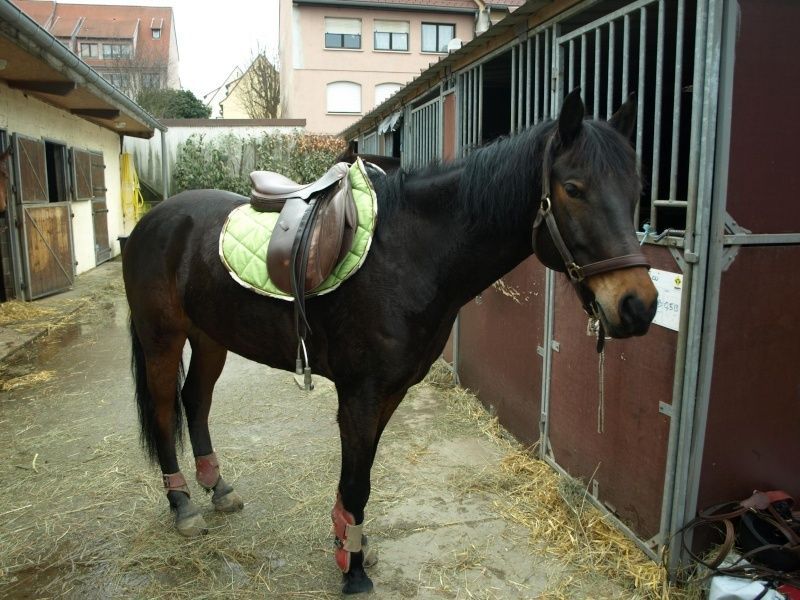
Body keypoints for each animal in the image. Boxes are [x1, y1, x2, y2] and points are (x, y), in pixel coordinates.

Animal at [122, 89, 658, 594]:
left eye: (637, 189)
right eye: (573, 189)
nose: (639, 305)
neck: (410, 253)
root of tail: (153, 220)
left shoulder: (390, 393)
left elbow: (358, 481)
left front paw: (348, 546)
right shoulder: (361, 393)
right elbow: (358, 483)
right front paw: (354, 573)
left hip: (210, 337)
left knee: (195, 401)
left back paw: (217, 487)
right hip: (162, 339)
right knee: (166, 410)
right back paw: (182, 505)